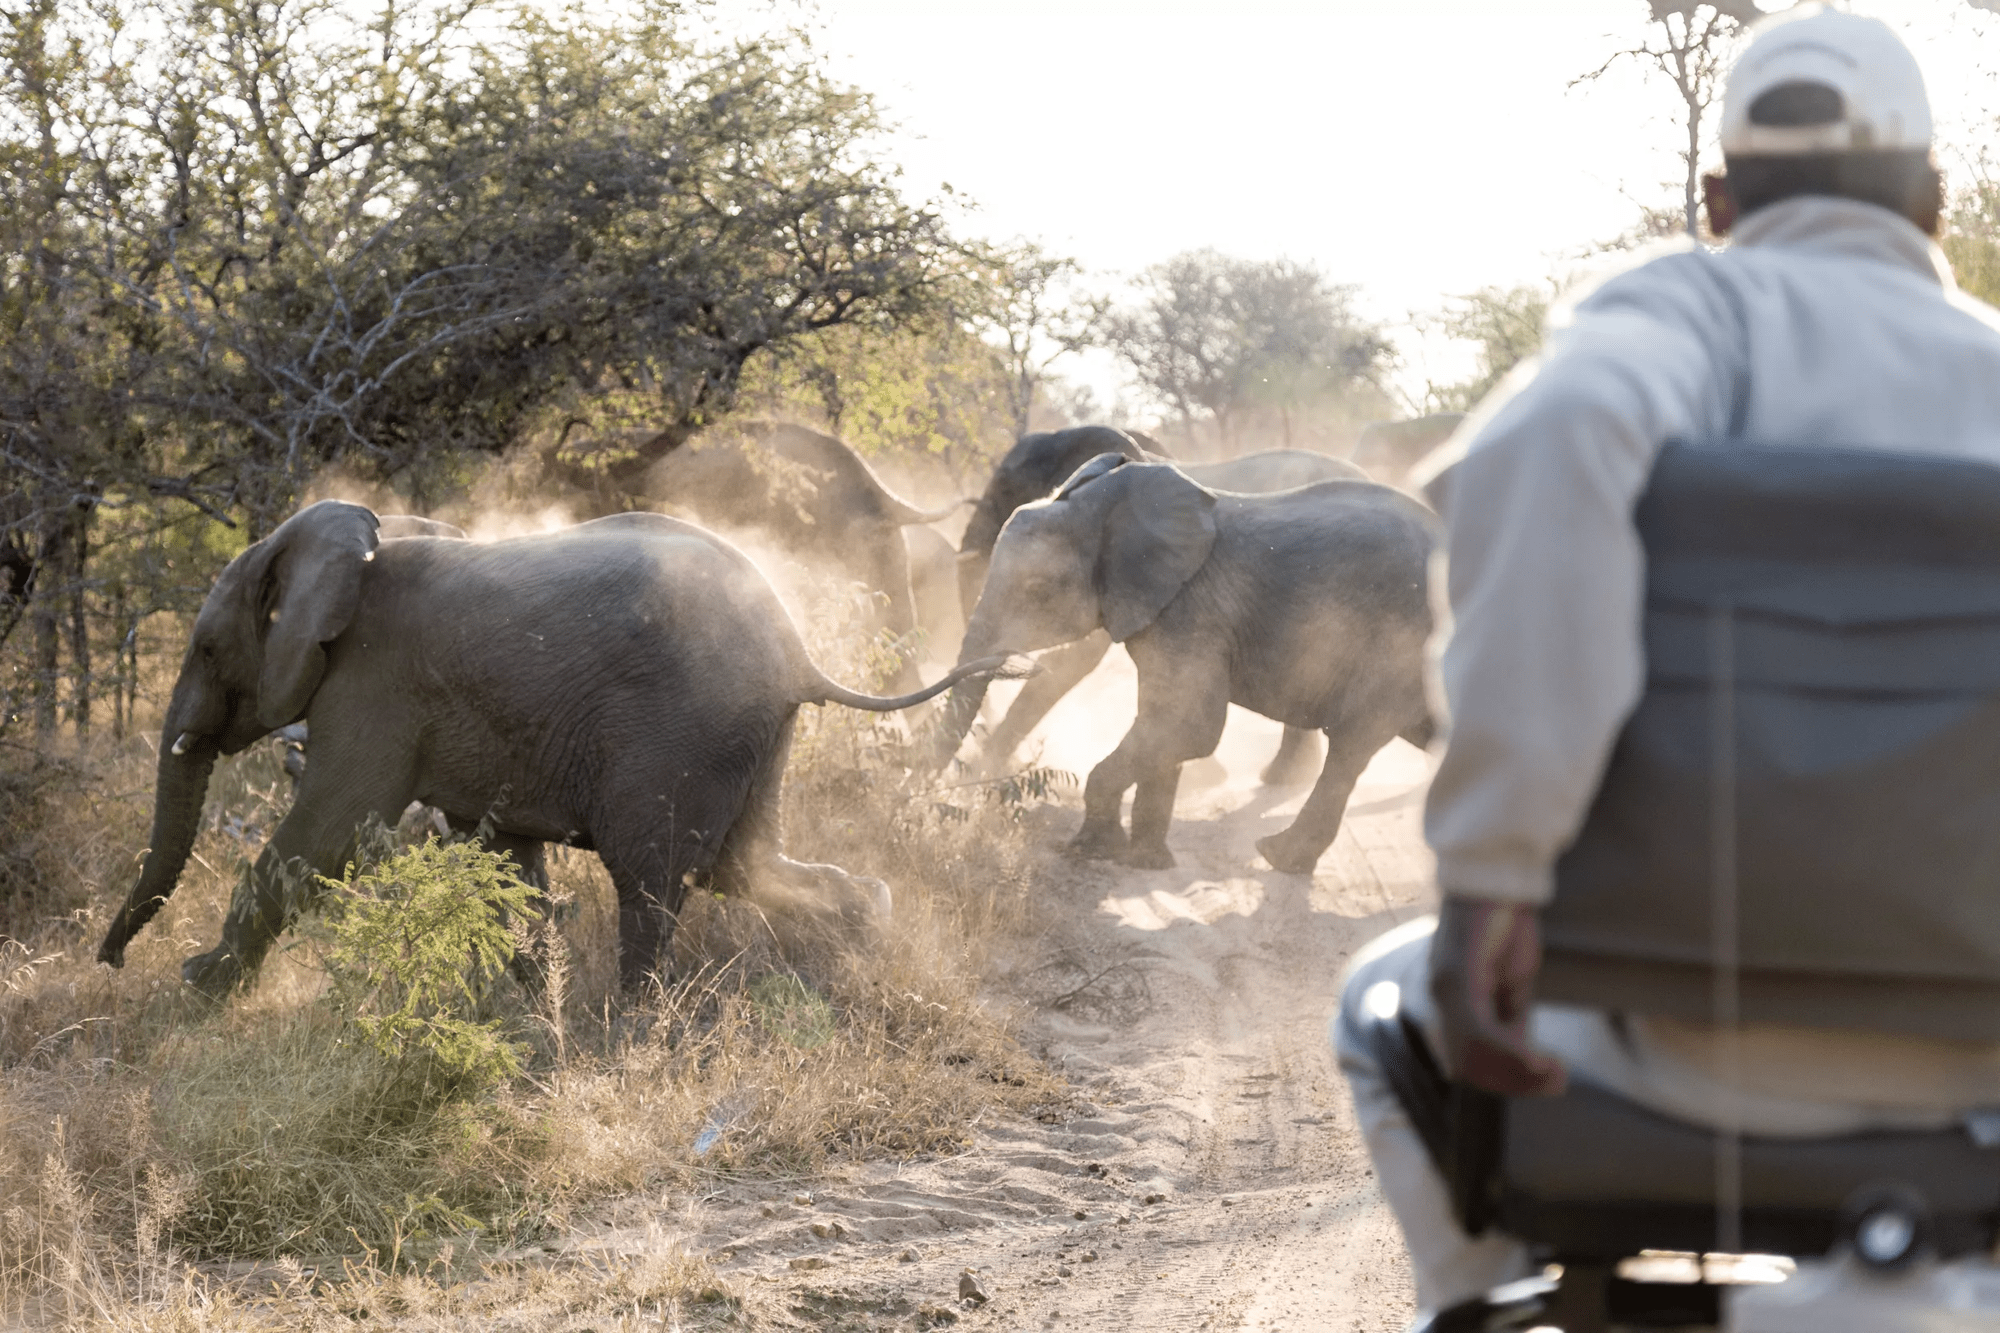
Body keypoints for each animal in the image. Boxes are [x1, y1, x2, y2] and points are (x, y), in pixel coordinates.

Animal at [95, 504, 1008, 992]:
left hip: (687, 730)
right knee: (743, 866)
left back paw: (631, 1024)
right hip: (753, 733)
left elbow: (323, 833)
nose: (110, 960)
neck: (341, 544)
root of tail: (799, 651)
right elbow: (507, 858)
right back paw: (872, 924)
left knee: (652, 876)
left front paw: (202, 987)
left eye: (207, 649)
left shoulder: (373, 688)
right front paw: (534, 1002)